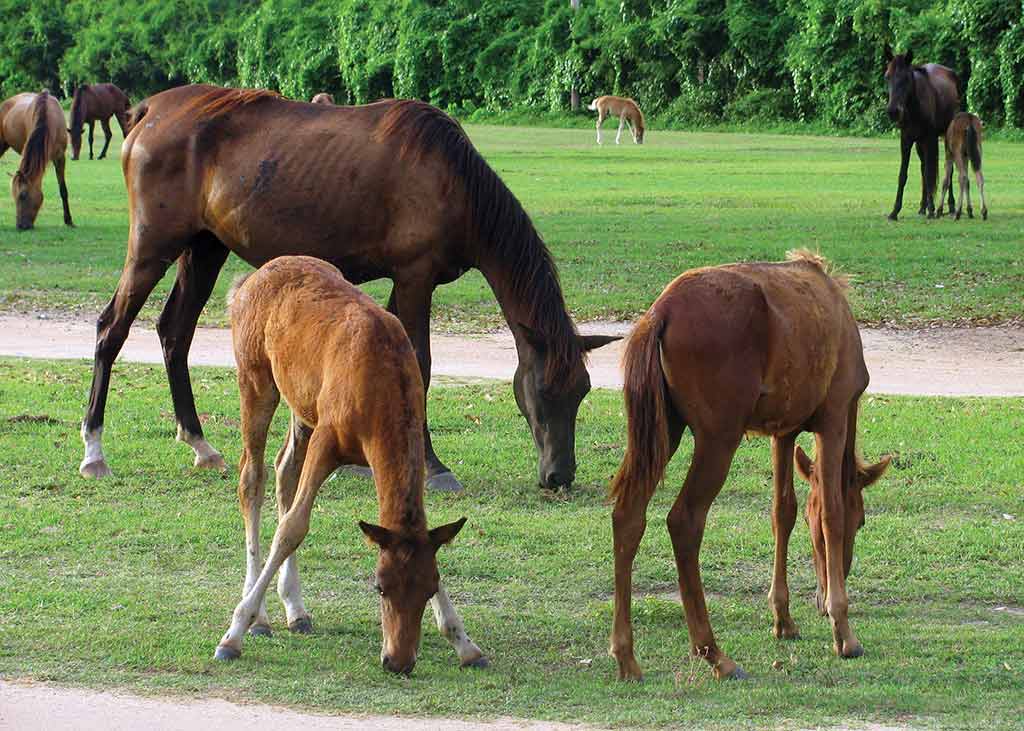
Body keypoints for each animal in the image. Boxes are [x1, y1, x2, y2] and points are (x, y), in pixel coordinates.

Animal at [78, 85, 618, 490]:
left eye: (583, 391)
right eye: (543, 391)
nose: (560, 476)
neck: (453, 180)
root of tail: (150, 111)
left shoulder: (405, 281)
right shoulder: (416, 276)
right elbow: (421, 364)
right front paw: (432, 466)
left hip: (205, 248)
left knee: (175, 332)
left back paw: (200, 443)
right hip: (153, 246)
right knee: (112, 329)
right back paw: (94, 450)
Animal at [215, 255, 485, 673]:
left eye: (430, 587)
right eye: (380, 586)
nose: (398, 661)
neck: (383, 386)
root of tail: (247, 281)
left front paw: (464, 641)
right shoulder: (327, 439)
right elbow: (293, 527)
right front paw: (234, 633)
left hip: (301, 406)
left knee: (284, 469)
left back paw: (295, 609)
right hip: (256, 380)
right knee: (252, 478)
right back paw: (260, 617)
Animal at [608, 251, 891, 681]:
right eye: (862, 522)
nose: (826, 593)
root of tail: (660, 313)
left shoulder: (784, 431)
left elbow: (783, 512)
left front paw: (784, 618)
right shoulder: (834, 415)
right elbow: (831, 511)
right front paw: (843, 629)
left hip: (662, 427)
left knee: (628, 514)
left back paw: (626, 655)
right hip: (718, 435)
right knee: (684, 520)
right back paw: (713, 652)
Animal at [884, 51, 960, 220]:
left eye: (906, 78)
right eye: (887, 76)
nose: (893, 111)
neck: (914, 107)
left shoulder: (929, 138)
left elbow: (929, 174)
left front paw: (932, 210)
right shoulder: (906, 140)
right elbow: (904, 175)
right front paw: (895, 211)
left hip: (945, 137)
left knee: (948, 169)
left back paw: (950, 206)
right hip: (920, 143)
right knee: (924, 166)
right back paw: (922, 207)